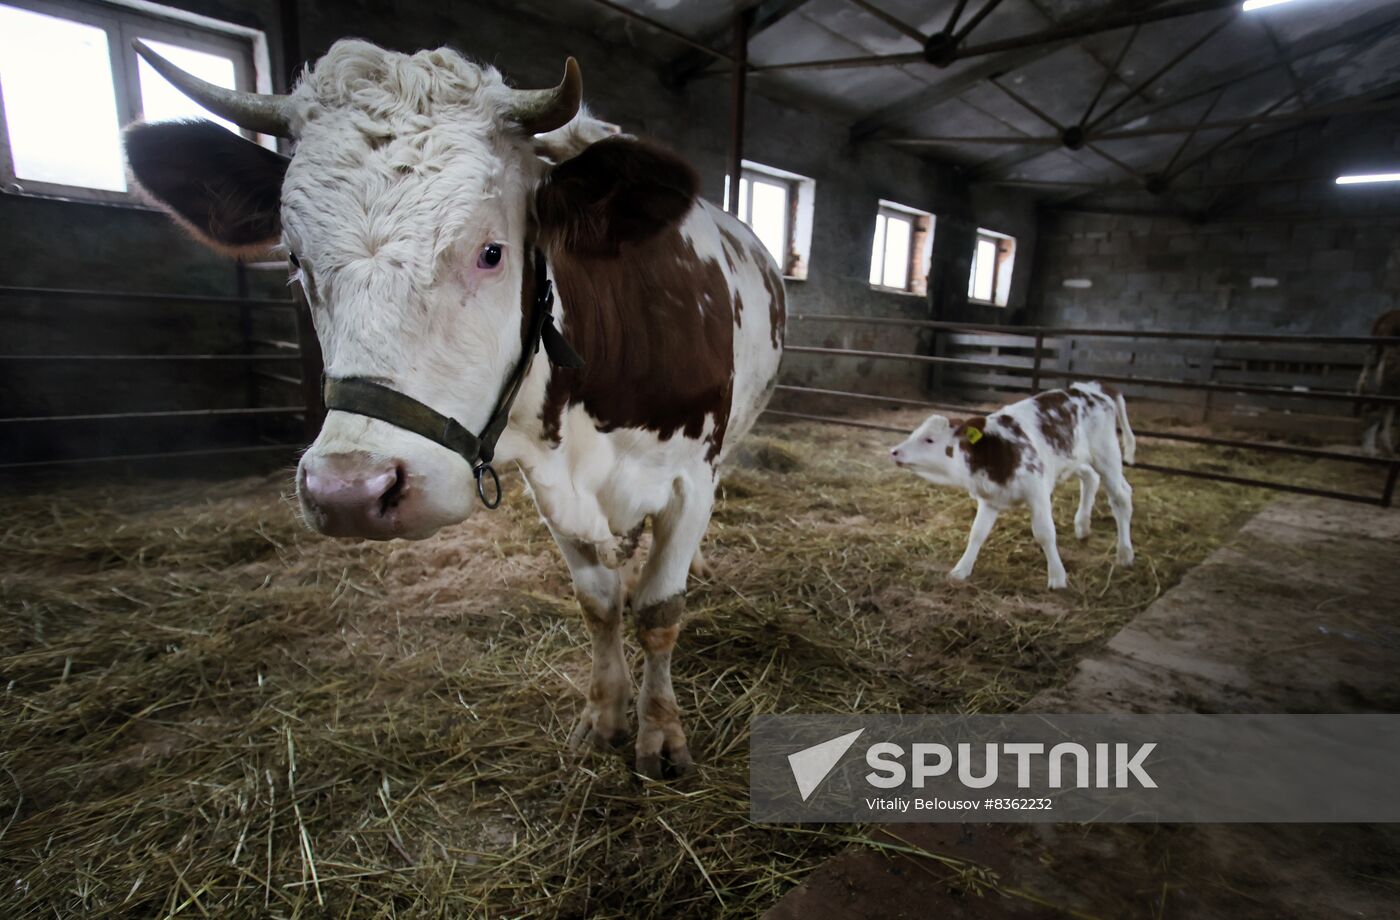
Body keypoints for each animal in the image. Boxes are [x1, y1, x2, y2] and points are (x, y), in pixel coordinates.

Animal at [121, 40, 786, 779]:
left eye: (491, 252)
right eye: (294, 257)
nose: (352, 492)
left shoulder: (689, 478)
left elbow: (658, 610)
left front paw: (661, 736)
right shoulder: (551, 487)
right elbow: (600, 602)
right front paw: (605, 716)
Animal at [889, 383, 1135, 589]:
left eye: (929, 439)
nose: (894, 451)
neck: (996, 452)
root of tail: (1091, 388)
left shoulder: (1038, 492)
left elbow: (1045, 533)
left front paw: (1057, 577)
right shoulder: (989, 499)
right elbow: (977, 533)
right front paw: (961, 570)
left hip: (1106, 455)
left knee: (1121, 497)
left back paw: (1125, 554)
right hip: (1074, 459)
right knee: (1092, 478)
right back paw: (1083, 526)